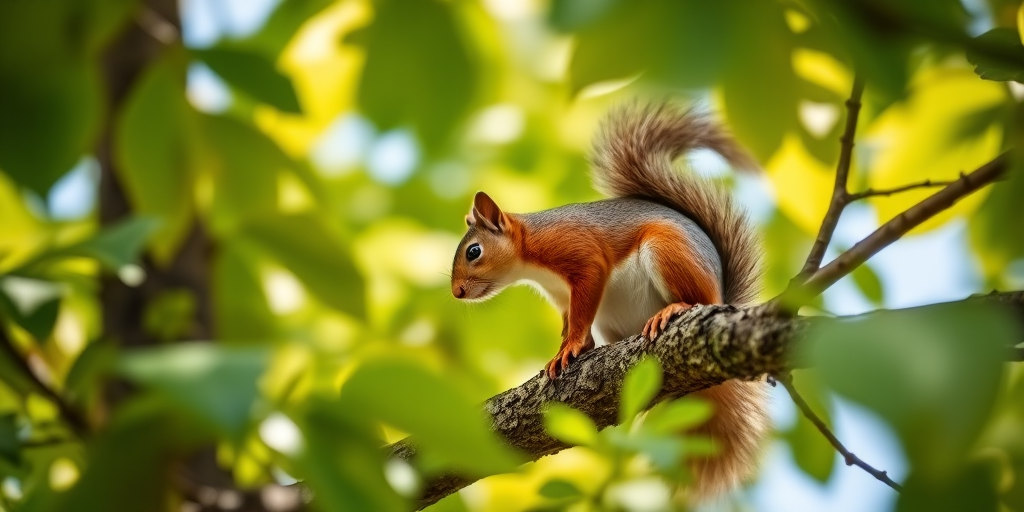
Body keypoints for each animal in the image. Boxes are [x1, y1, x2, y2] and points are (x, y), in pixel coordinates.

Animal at [449, 102, 769, 499]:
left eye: (474, 252)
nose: (456, 292)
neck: (531, 257)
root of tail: (720, 294)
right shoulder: (562, 298)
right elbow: (573, 321)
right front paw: (566, 349)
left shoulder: (581, 256)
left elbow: (583, 302)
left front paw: (570, 348)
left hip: (668, 251)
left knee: (697, 300)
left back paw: (674, 310)